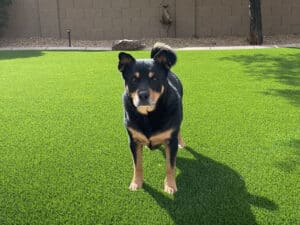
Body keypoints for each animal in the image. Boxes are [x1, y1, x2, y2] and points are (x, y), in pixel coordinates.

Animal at [118, 42, 185, 193]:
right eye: (133, 79)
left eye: (154, 78)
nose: (143, 95)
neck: (149, 115)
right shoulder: (133, 141)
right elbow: (137, 164)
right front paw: (136, 183)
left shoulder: (171, 142)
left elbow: (170, 166)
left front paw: (170, 185)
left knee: (179, 129)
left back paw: (182, 142)